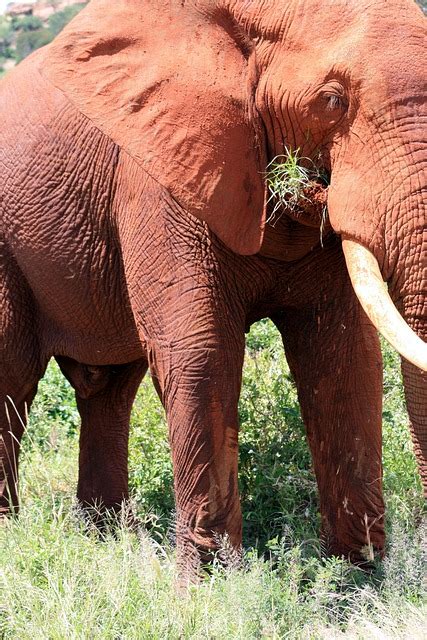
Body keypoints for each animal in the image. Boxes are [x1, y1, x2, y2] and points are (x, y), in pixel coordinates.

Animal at [0, 0, 426, 576]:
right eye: (332, 101)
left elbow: (343, 358)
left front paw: (355, 582)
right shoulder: (160, 175)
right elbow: (203, 354)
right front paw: (212, 587)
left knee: (107, 390)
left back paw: (105, 541)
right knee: (13, 377)